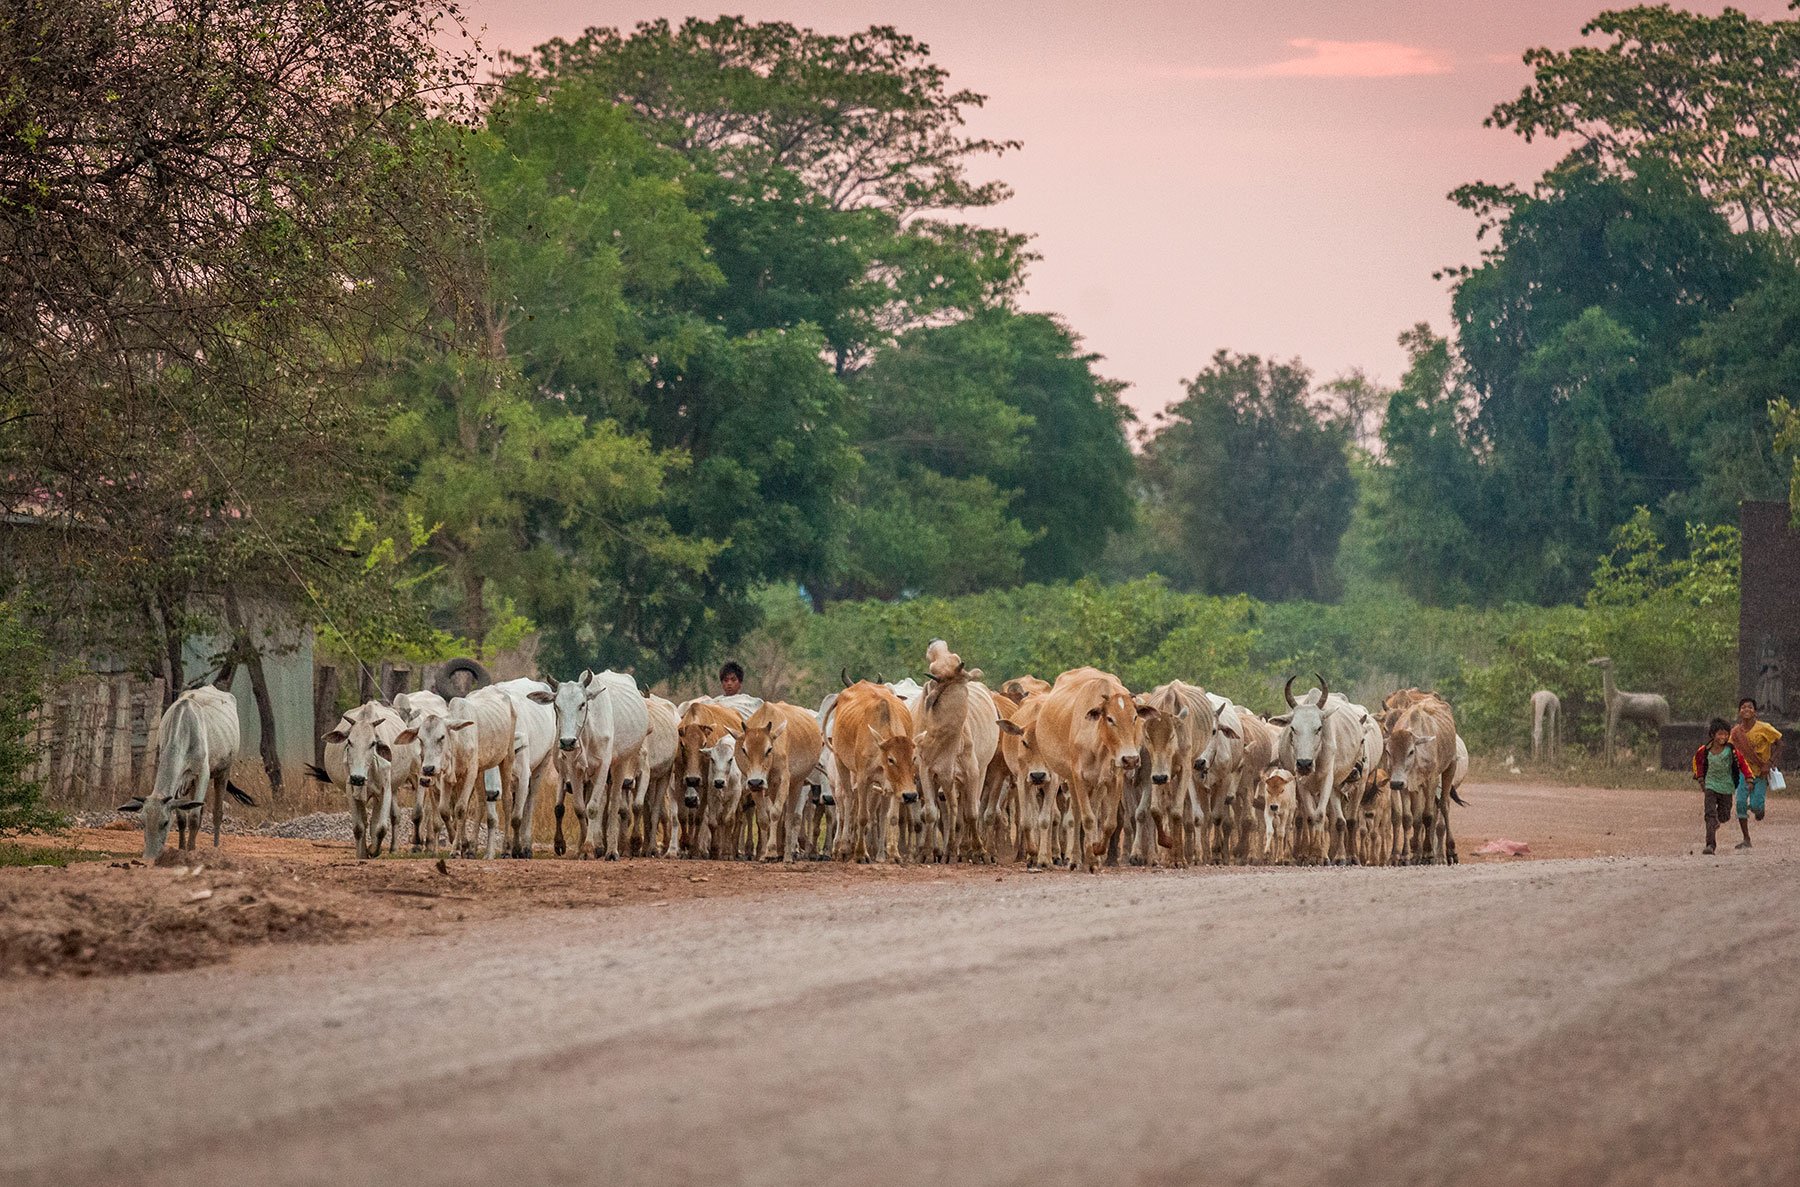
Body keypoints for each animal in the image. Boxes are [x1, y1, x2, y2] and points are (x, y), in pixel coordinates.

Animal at [824, 688, 914, 864]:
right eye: (891, 759)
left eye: (913, 758)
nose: (911, 795)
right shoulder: (863, 779)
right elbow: (862, 817)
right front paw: (860, 854)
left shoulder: (893, 786)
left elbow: (891, 818)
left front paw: (894, 854)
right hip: (841, 763)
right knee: (846, 804)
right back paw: (843, 849)